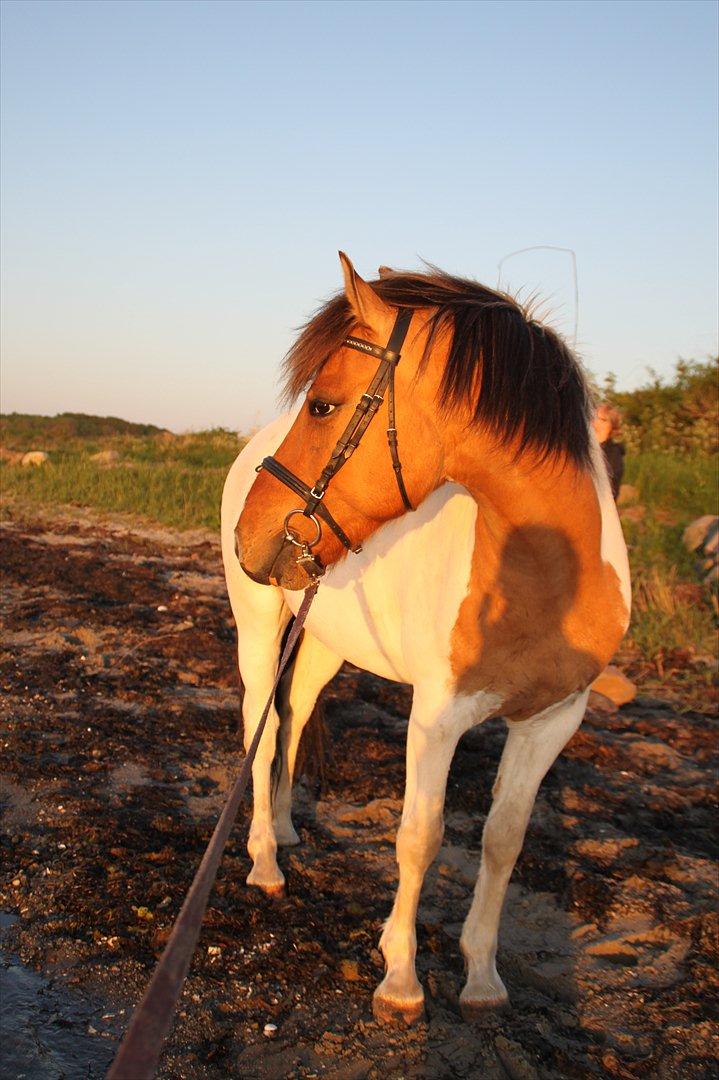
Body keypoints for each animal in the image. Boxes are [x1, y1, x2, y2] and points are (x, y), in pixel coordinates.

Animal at [220, 250, 626, 1019]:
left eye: (322, 405)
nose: (250, 535)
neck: (547, 573)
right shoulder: (436, 719)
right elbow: (420, 836)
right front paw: (402, 980)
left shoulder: (552, 721)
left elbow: (503, 839)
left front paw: (482, 977)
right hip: (258, 624)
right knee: (262, 724)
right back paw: (263, 860)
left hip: (325, 641)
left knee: (295, 715)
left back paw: (284, 829)